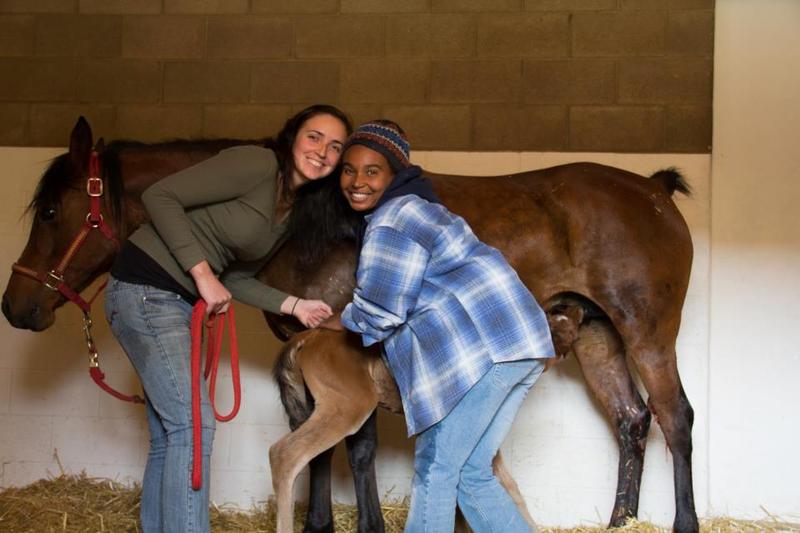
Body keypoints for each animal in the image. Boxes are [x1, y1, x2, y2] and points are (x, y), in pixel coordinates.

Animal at [3, 117, 696, 532]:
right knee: (632, 423)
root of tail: (654, 188)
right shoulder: (306, 343)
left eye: (51, 210)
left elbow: (354, 446)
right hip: (600, 338)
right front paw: (319, 523)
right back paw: (621, 523)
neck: (316, 225)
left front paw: (362, 524)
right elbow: (316, 446)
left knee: (674, 419)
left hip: (648, 336)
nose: (16, 306)